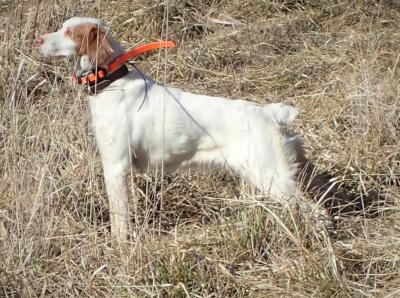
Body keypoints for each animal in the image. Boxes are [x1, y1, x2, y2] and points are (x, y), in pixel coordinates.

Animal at [36, 16, 366, 242]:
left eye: (69, 32)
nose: (37, 39)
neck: (112, 82)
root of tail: (270, 114)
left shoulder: (116, 166)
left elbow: (120, 219)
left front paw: (119, 247)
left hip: (273, 177)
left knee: (316, 210)